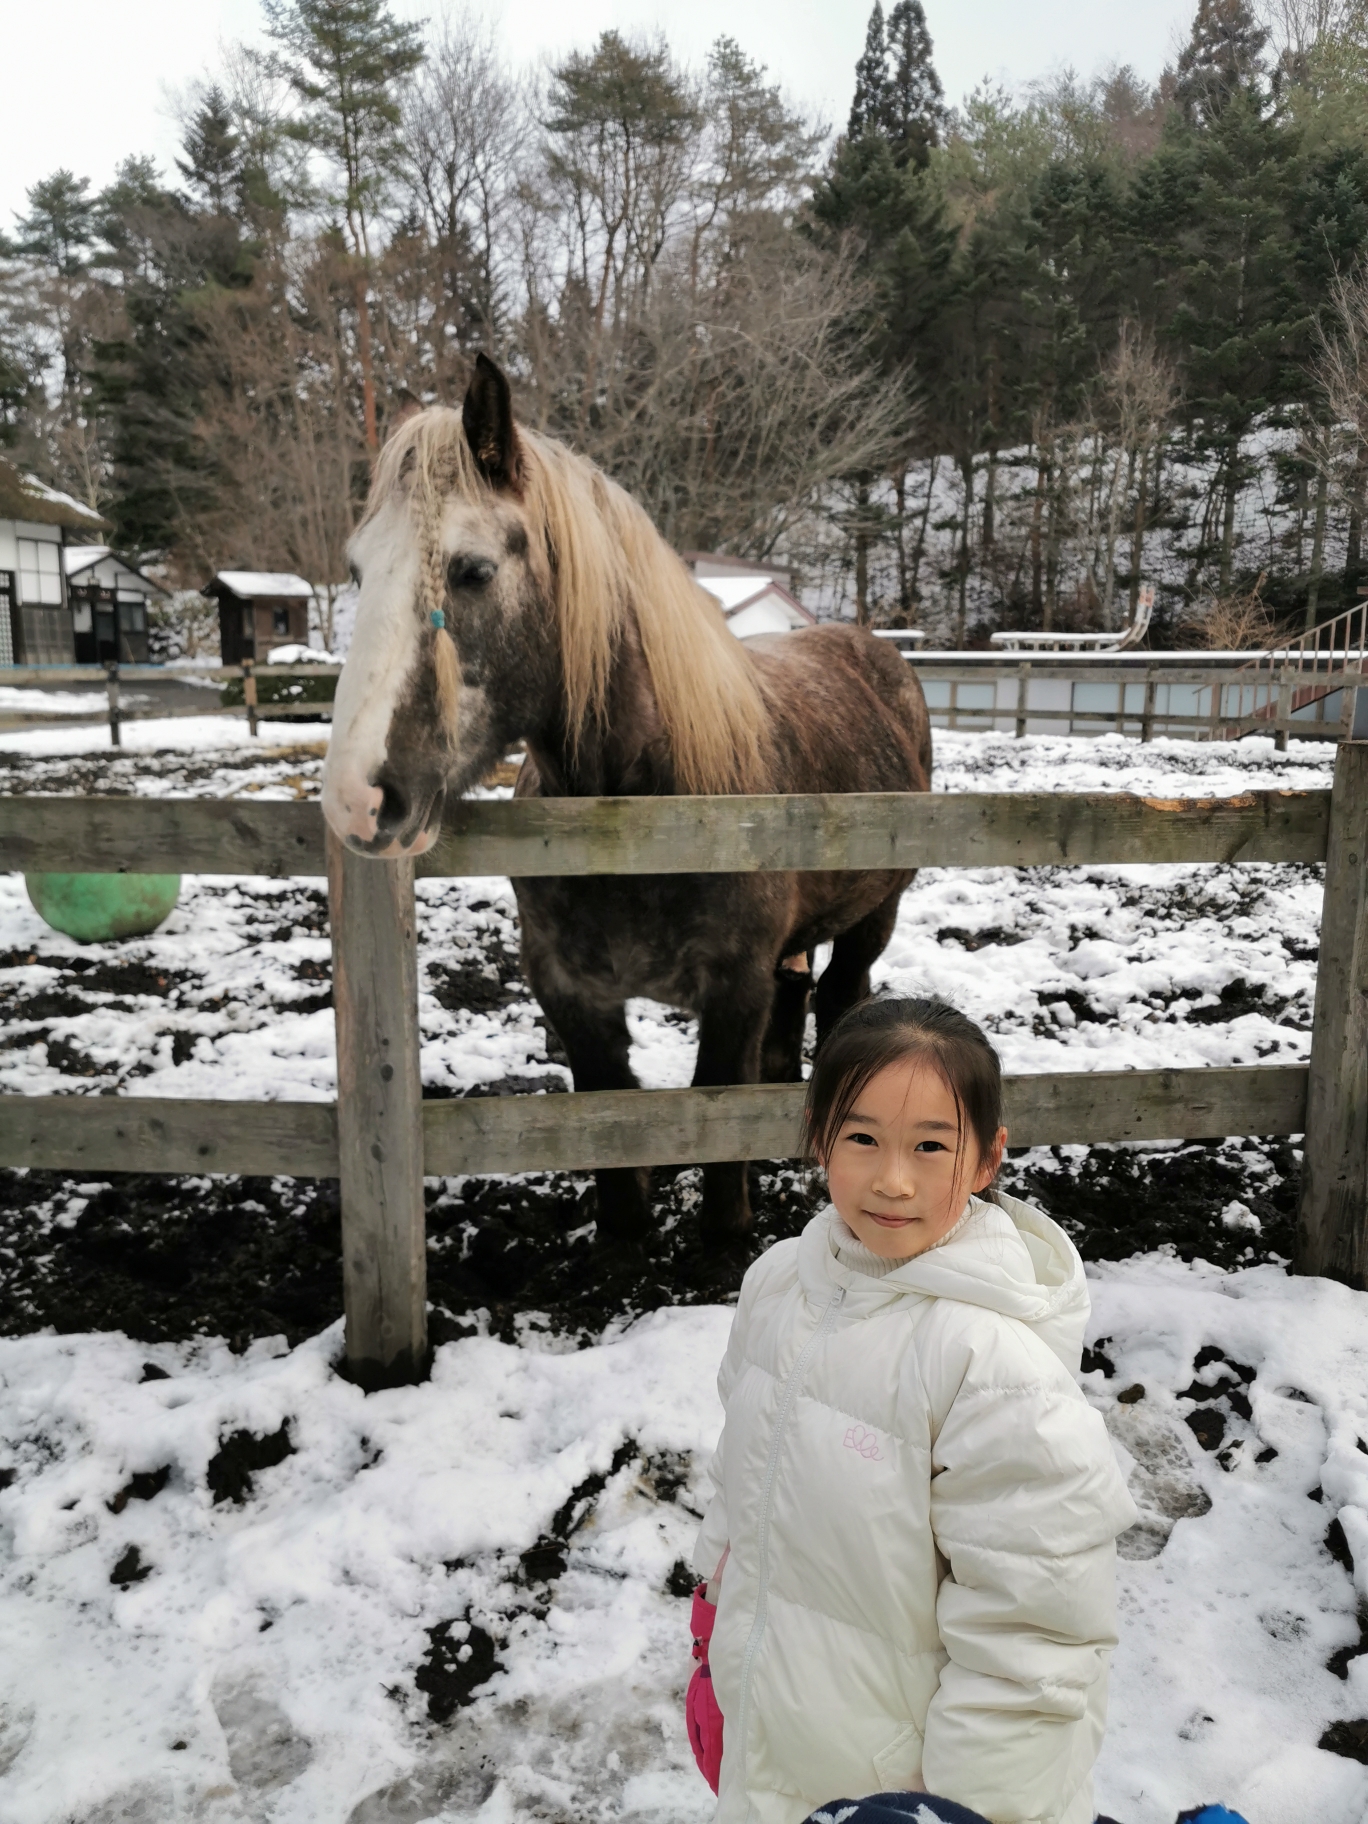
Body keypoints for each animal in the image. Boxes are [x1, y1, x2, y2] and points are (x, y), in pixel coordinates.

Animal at [324, 350, 933, 1247]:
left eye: (473, 570)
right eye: (359, 570)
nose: (357, 799)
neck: (640, 819)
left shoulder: (733, 989)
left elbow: (717, 1115)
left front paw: (725, 1231)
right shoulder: (571, 991)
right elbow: (608, 1108)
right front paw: (623, 1228)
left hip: (871, 920)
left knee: (838, 996)